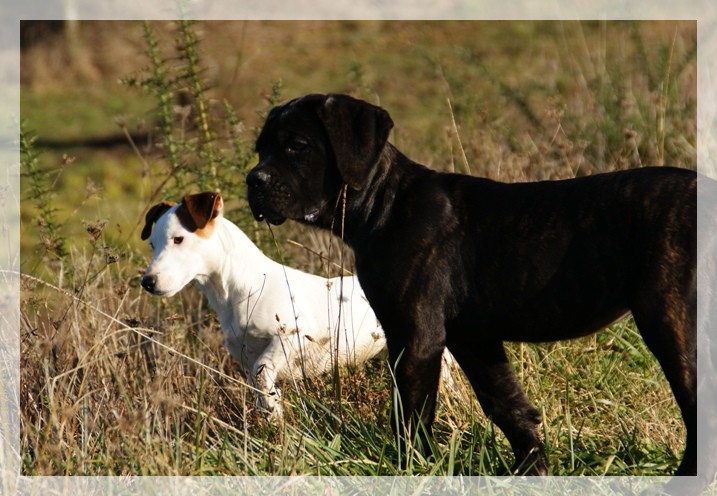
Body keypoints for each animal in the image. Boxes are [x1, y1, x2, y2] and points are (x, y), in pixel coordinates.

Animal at [140, 191, 386, 418]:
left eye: (178, 239)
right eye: (152, 244)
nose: (147, 282)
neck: (245, 288)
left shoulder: (293, 334)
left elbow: (263, 368)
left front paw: (273, 405)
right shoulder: (245, 357)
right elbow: (259, 386)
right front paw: (273, 414)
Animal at [245, 93, 692, 476]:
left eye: (297, 145)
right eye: (260, 150)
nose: (254, 180)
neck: (383, 204)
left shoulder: (416, 337)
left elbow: (410, 414)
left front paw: (410, 469)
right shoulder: (473, 338)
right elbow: (509, 406)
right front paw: (531, 473)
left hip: (670, 321)